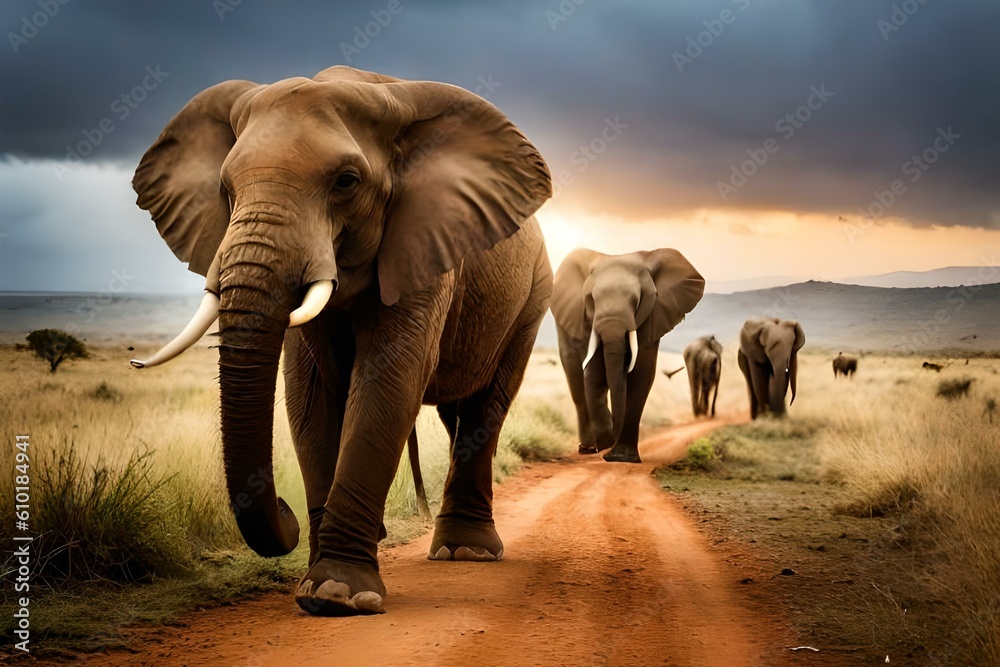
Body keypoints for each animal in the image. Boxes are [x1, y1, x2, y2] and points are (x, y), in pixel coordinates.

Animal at [128, 66, 553, 616]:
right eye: (225, 188)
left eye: (346, 182)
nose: (284, 511)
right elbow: (308, 398)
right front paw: (317, 586)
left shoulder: (421, 243)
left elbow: (386, 383)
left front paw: (339, 595)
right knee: (455, 411)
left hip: (532, 296)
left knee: (485, 407)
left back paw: (466, 552)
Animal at [550, 248, 705, 463]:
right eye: (590, 300)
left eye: (637, 301)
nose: (608, 448)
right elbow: (594, 371)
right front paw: (609, 444)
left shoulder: (653, 316)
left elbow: (642, 372)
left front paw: (621, 457)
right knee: (575, 379)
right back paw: (589, 448)